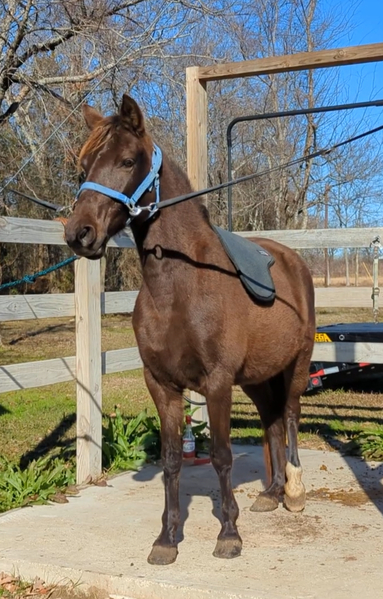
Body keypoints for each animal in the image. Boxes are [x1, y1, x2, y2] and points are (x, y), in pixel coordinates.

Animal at [64, 95, 316, 568]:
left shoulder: (216, 383)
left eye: (128, 161)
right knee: (272, 420)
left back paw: (293, 492)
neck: (180, 286)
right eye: (84, 165)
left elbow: (221, 456)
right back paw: (271, 493)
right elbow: (170, 461)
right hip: (256, 377)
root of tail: (292, 259)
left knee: (290, 415)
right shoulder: (161, 384)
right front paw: (166, 539)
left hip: (297, 363)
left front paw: (229, 534)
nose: (78, 233)